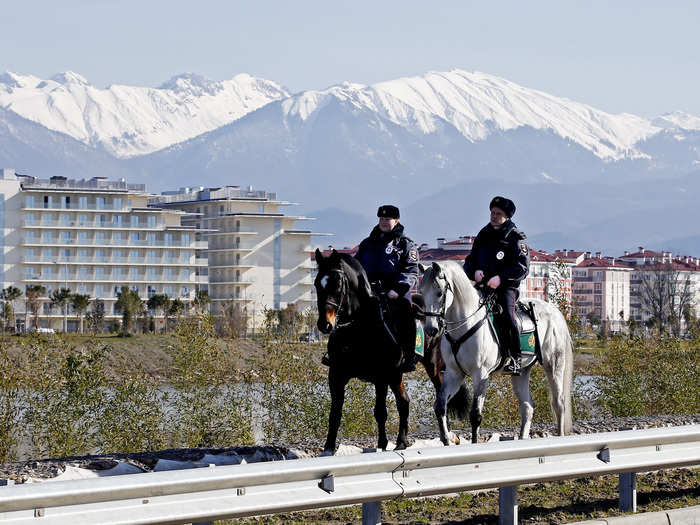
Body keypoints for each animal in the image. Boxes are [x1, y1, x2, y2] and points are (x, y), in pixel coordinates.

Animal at [314, 248, 468, 452]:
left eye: (337, 284)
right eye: (317, 283)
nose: (324, 325)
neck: (358, 328)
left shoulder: (381, 376)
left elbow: (380, 412)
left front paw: (381, 445)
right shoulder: (337, 375)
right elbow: (335, 413)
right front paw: (329, 448)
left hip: (431, 367)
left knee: (441, 397)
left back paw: (447, 435)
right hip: (396, 376)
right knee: (405, 402)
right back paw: (402, 442)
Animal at [418, 260, 572, 444]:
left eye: (439, 292)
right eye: (421, 292)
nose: (431, 329)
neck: (466, 323)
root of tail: (555, 312)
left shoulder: (481, 374)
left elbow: (475, 415)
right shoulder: (454, 374)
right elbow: (440, 406)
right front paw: (446, 440)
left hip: (554, 365)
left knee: (559, 403)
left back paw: (560, 435)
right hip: (521, 373)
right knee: (527, 407)